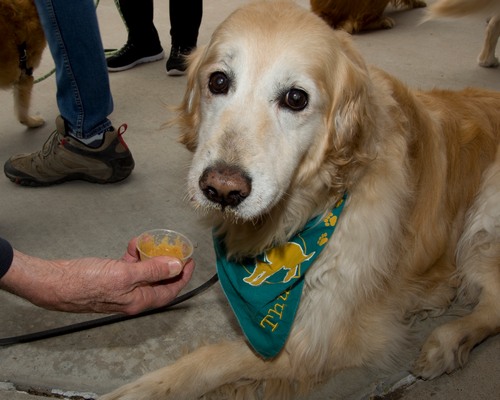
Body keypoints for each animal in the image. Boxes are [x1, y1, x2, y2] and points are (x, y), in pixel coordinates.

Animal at [101, 1, 500, 399]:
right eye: (218, 81)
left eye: (296, 98)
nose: (222, 189)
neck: (306, 211)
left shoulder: (320, 338)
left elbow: (214, 357)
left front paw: (147, 387)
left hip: (486, 209)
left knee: (493, 305)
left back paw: (446, 342)